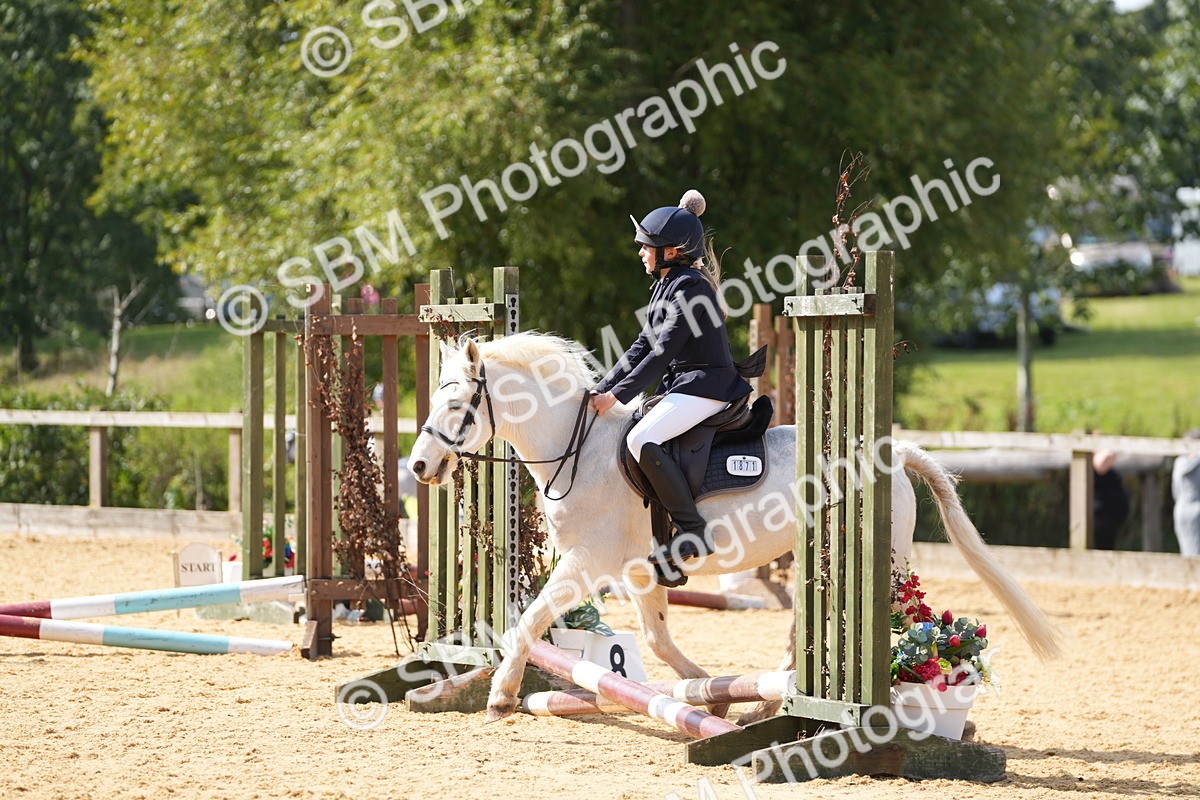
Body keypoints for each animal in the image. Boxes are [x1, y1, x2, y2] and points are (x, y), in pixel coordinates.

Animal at [408, 332, 1062, 723]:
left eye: (458, 406)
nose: (418, 467)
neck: (580, 450)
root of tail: (894, 452)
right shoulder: (638, 572)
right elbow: (658, 640)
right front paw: (705, 693)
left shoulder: (586, 563)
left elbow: (527, 622)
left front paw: (501, 695)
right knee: (807, 627)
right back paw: (775, 696)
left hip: (880, 563)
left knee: (903, 623)